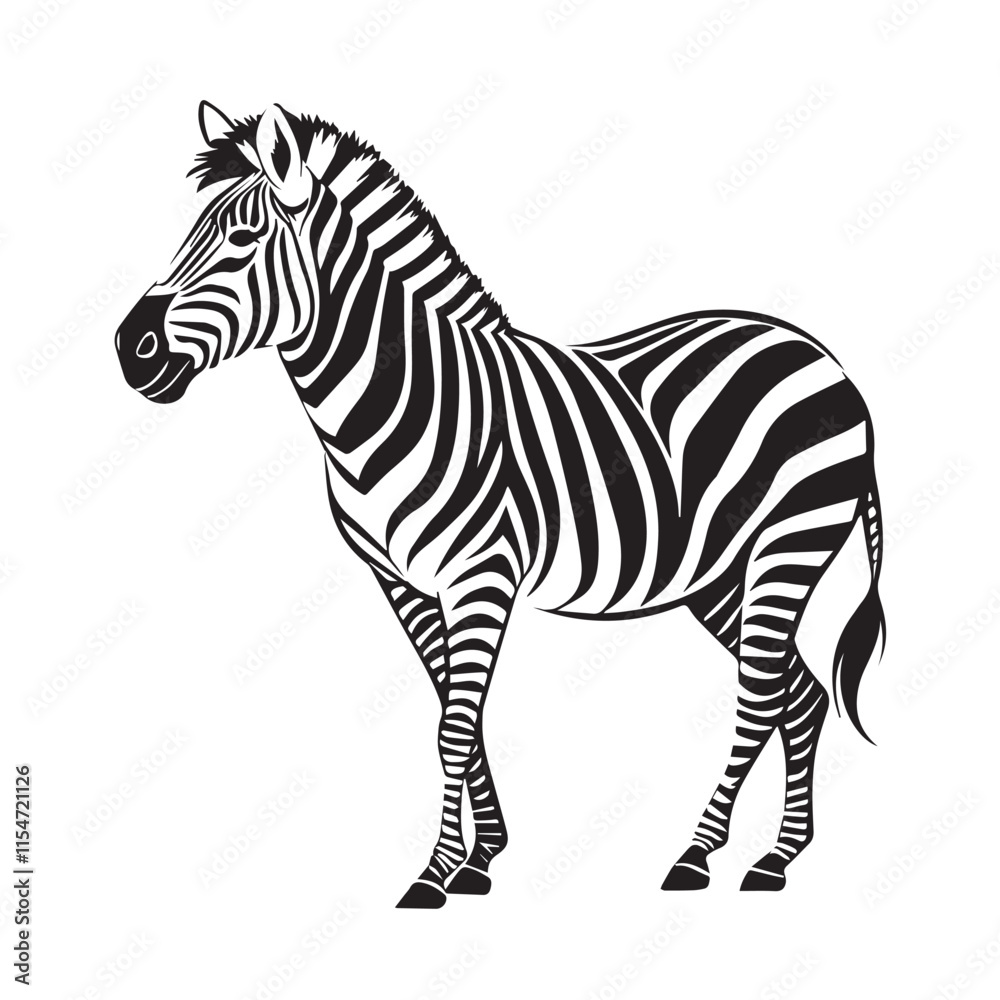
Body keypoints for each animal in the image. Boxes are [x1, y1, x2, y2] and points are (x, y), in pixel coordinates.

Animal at [116, 102, 886, 907]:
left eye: (242, 239)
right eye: (187, 232)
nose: (129, 348)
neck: (400, 398)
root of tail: (818, 353)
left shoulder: (479, 576)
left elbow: (454, 729)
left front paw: (436, 874)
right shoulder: (402, 582)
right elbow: (453, 714)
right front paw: (481, 856)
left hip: (789, 544)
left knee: (762, 697)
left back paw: (702, 856)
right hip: (716, 571)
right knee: (799, 692)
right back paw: (778, 856)